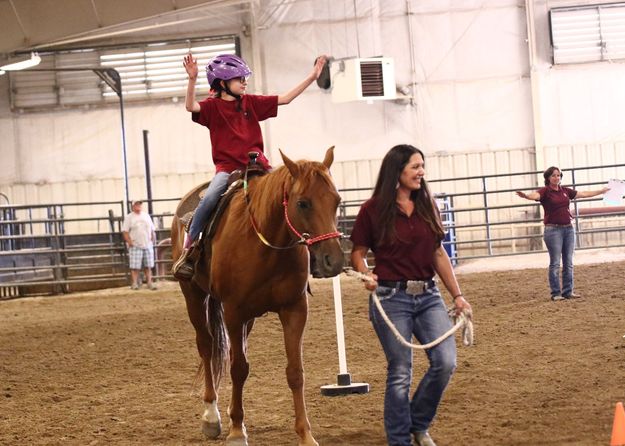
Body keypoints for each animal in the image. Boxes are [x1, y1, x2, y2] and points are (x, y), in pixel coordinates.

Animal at [171, 147, 344, 446]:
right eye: (303, 203)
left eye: (336, 200)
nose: (332, 260)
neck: (266, 242)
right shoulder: (233, 310)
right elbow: (239, 368)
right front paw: (236, 431)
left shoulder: (294, 309)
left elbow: (295, 372)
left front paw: (305, 434)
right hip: (194, 296)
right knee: (207, 347)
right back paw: (212, 416)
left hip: (246, 317)